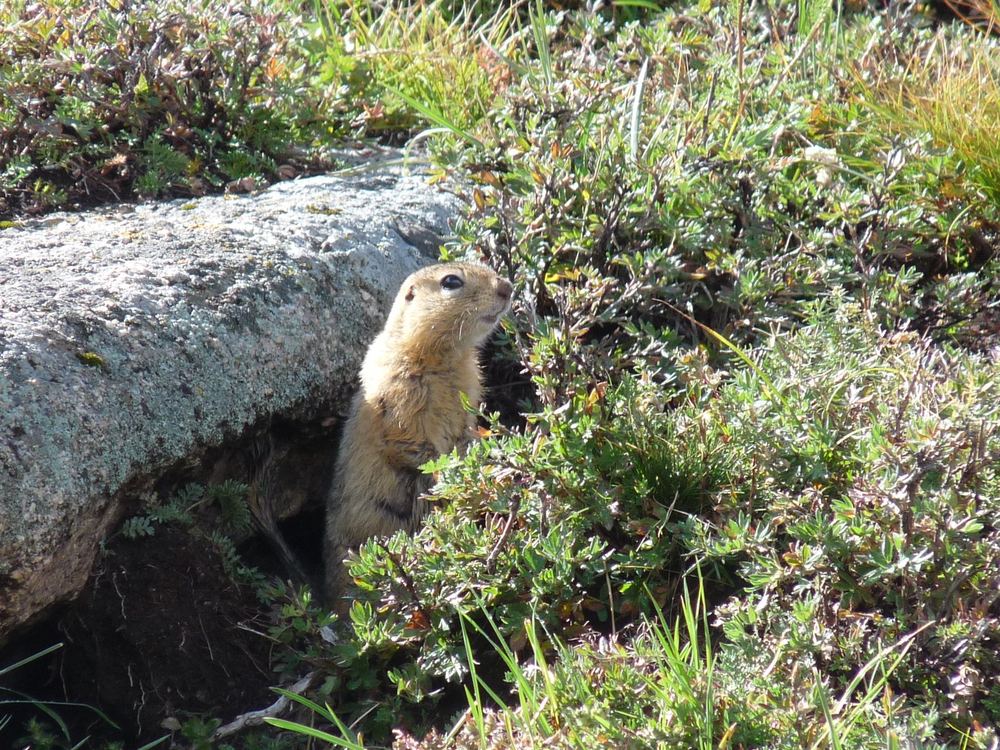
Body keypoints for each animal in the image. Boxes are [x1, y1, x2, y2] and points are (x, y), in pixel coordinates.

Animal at [323, 262, 513, 606]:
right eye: (451, 281)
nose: (506, 287)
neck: (445, 358)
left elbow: (464, 431)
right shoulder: (401, 395)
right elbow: (411, 443)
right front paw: (449, 472)